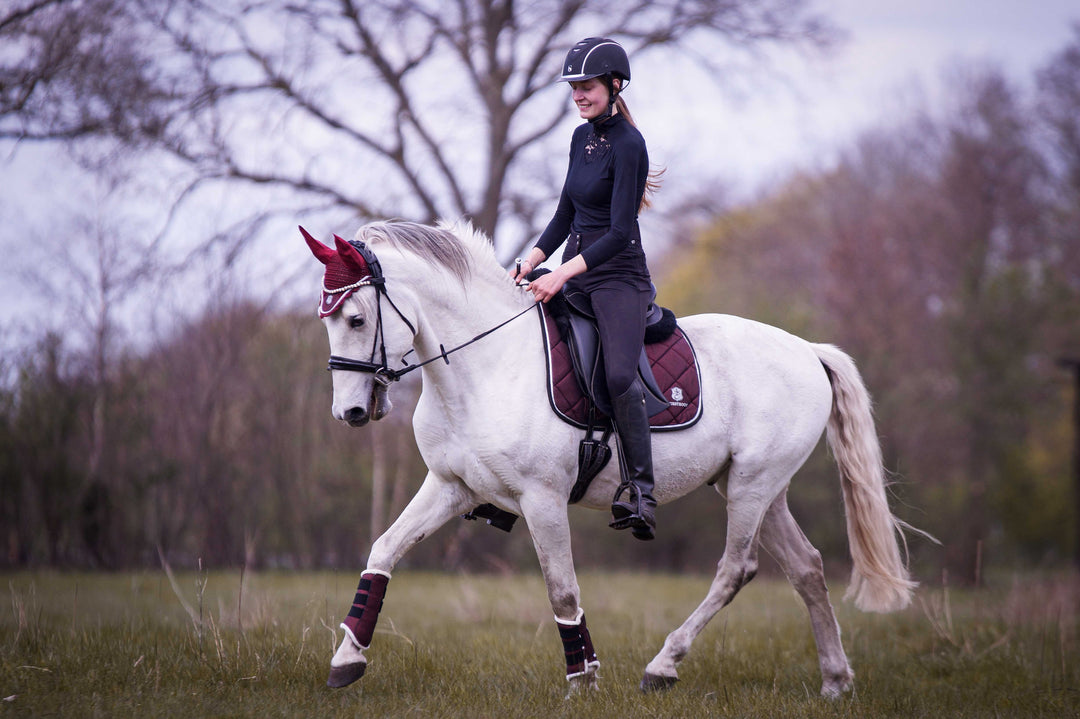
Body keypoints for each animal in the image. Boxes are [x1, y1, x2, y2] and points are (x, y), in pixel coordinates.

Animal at [304, 216, 920, 695]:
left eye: (356, 319)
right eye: (327, 320)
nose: (350, 412)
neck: (485, 365)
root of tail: (807, 351)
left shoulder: (542, 499)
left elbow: (562, 589)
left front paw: (584, 679)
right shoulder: (450, 485)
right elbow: (384, 550)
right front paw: (346, 660)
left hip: (752, 485)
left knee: (735, 570)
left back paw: (662, 667)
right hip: (758, 489)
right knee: (807, 569)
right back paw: (835, 680)